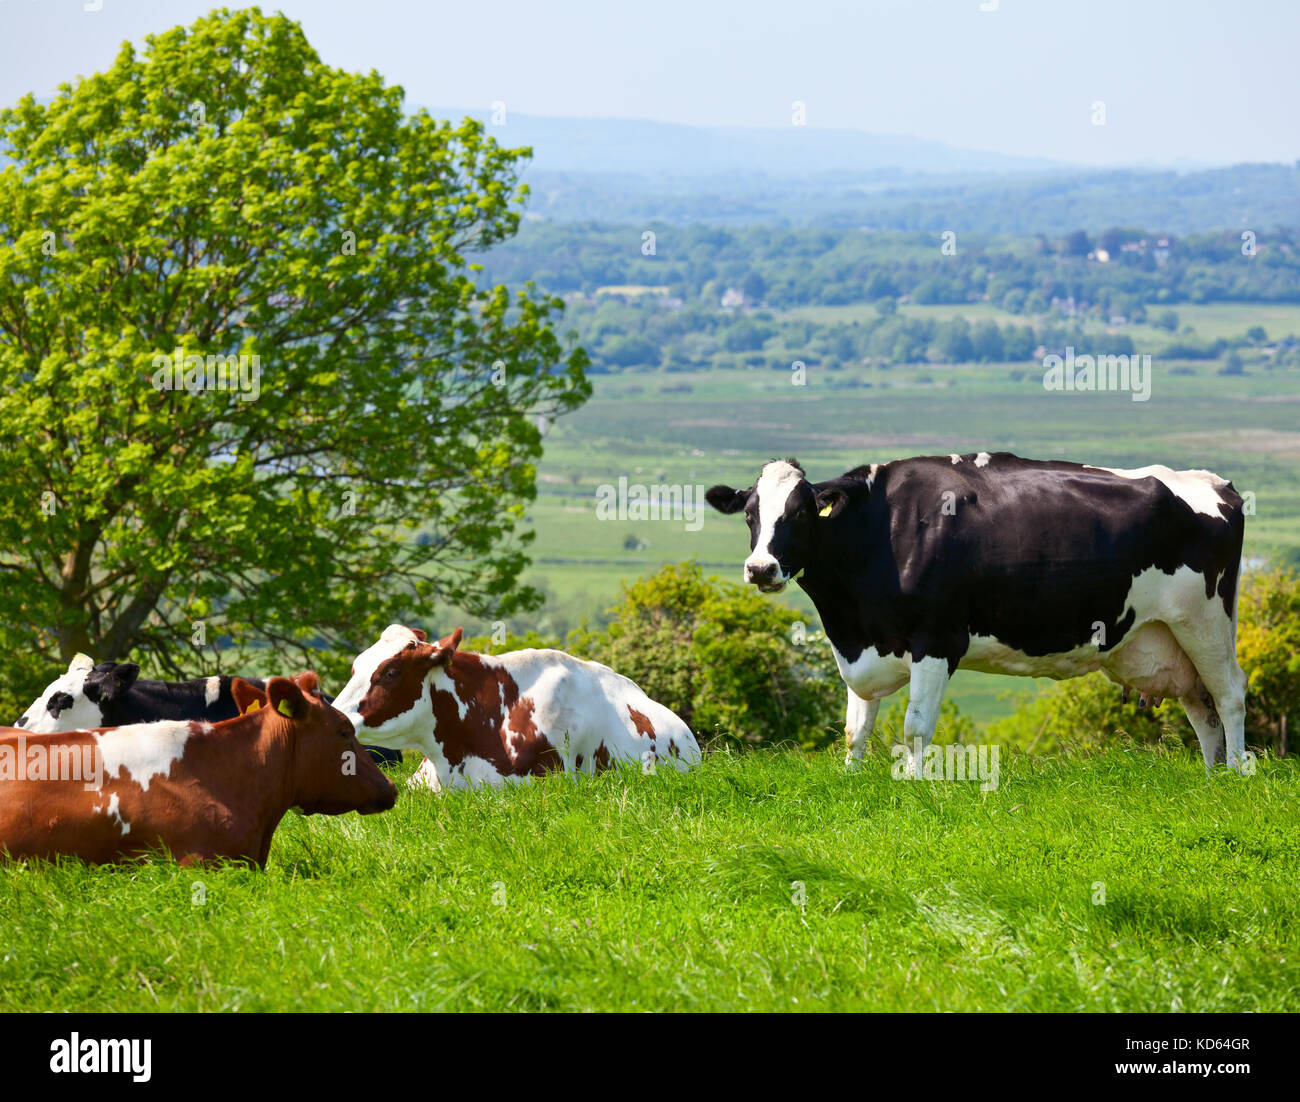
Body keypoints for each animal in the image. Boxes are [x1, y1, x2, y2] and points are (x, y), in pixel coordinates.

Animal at [706, 453, 1248, 773]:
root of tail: (1214, 483)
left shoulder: (936, 639)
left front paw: (912, 786)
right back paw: (1209, 776)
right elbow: (855, 731)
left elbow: (915, 726)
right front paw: (851, 780)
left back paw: (1236, 774)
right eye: (750, 514)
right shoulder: (863, 644)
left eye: (799, 513)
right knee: (1202, 707)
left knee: (1230, 694)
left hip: (1206, 621)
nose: (760, 568)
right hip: (1167, 637)